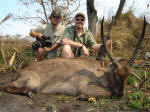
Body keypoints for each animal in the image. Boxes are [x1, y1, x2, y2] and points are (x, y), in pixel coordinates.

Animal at [0, 16, 146, 100]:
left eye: (128, 75)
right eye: (116, 73)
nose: (121, 94)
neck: (101, 73)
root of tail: (20, 72)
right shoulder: (86, 87)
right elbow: (108, 93)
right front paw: (82, 97)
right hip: (30, 81)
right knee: (5, 86)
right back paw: (28, 92)